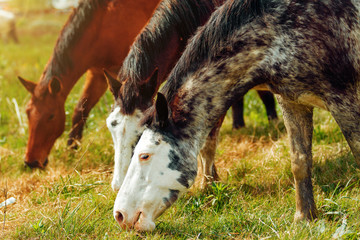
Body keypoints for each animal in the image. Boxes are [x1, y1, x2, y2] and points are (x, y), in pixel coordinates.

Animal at [18, 0, 160, 168]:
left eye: (51, 116)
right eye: (27, 112)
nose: (31, 162)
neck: (103, 23)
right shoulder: (97, 75)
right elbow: (80, 111)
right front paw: (71, 151)